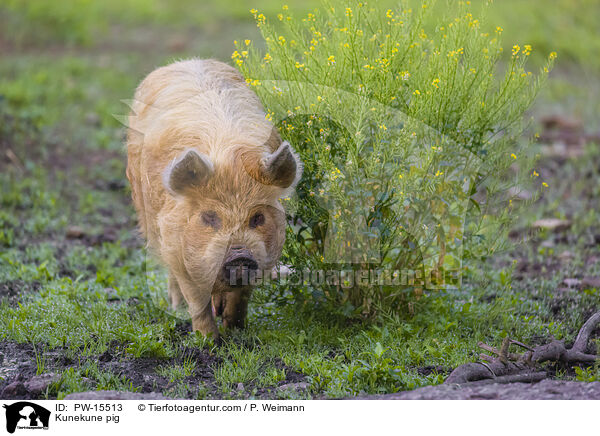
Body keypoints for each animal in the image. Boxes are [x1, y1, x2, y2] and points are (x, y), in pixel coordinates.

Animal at [127, 58, 304, 338]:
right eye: (209, 217)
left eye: (258, 217)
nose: (239, 255)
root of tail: (187, 61)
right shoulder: (176, 246)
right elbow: (195, 299)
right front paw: (208, 340)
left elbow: (241, 297)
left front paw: (236, 330)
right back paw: (176, 306)